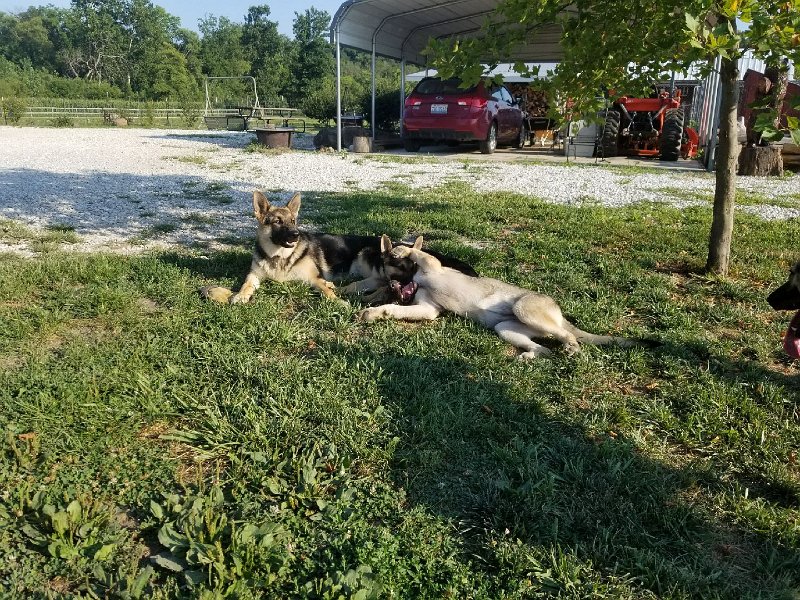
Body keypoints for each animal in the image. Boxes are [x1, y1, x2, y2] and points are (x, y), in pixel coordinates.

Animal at [202, 192, 476, 304]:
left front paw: (338, 302)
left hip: (369, 258)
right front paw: (240, 295)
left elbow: (326, 291)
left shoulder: (314, 279)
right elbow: (246, 284)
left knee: (374, 282)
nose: (296, 234)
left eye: (293, 221)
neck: (279, 258)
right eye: (277, 222)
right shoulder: (254, 275)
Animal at [362, 236, 644, 358]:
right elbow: (396, 310)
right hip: (507, 329)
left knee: (568, 335)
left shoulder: (432, 265)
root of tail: (559, 315)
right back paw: (533, 355)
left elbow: (417, 252)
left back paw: (571, 347)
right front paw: (377, 312)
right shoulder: (428, 309)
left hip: (525, 310)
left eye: (399, 268)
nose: (393, 287)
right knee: (544, 348)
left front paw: (403, 248)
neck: (418, 282)